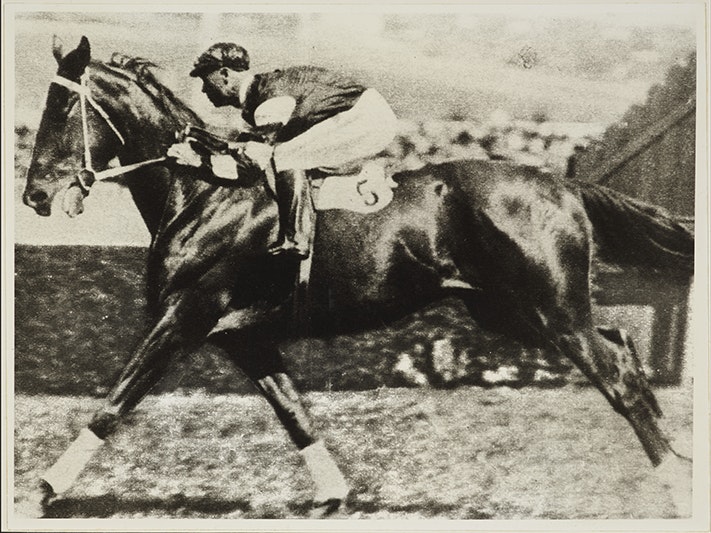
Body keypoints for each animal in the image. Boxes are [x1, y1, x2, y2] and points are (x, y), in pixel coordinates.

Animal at [20, 36, 694, 518]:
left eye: (62, 108)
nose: (34, 196)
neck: (205, 194)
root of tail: (561, 182)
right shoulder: (243, 334)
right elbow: (294, 413)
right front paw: (333, 496)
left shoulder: (185, 316)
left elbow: (115, 403)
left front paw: (42, 490)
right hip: (513, 312)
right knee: (622, 347)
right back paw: (677, 459)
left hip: (551, 309)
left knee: (616, 375)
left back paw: (675, 483)